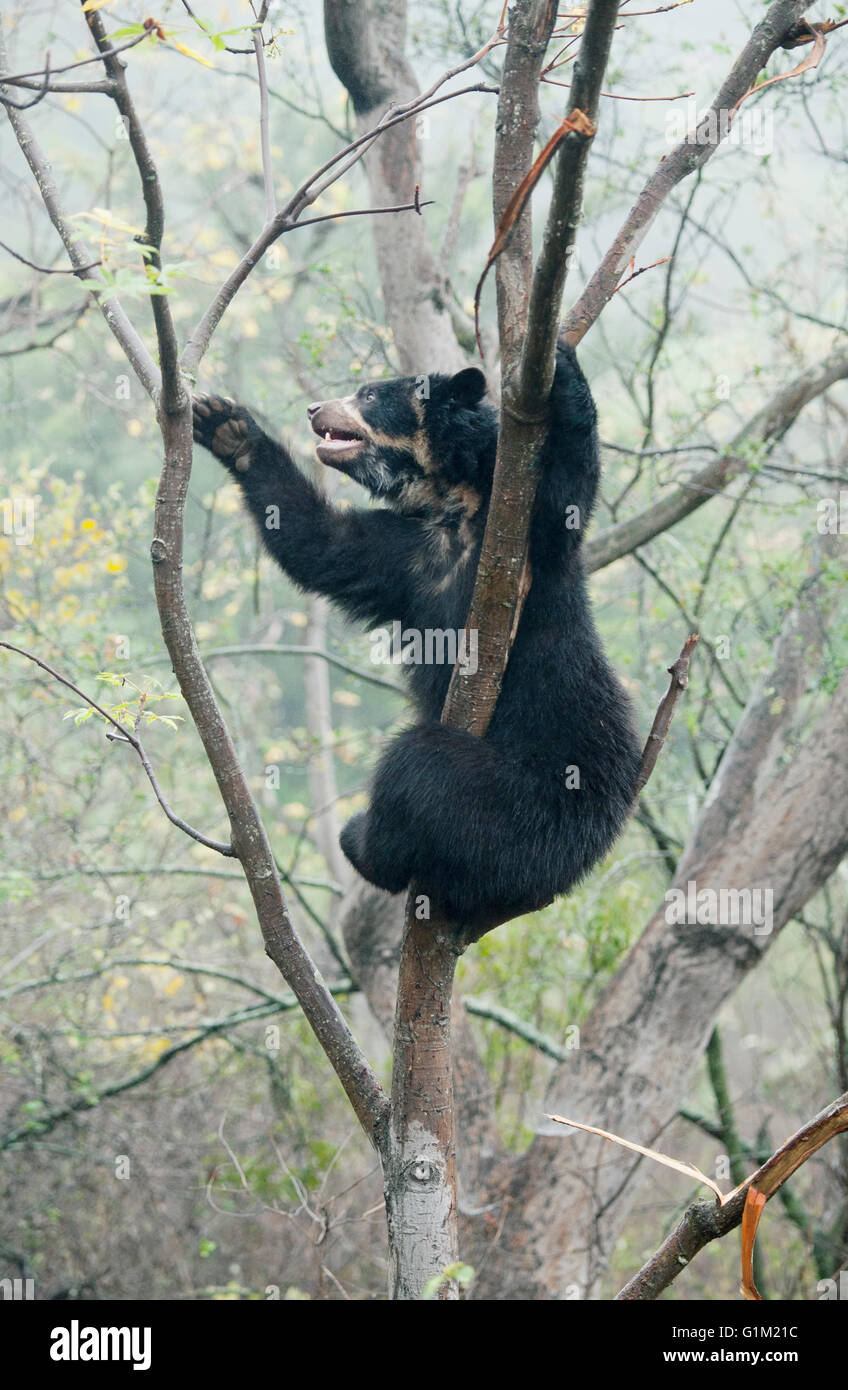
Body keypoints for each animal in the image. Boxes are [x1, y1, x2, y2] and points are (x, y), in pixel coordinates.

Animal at [193, 347, 639, 928]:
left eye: (370, 395)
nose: (315, 409)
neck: (456, 507)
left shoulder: (532, 546)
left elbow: (569, 489)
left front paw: (559, 358)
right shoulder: (406, 556)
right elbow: (322, 543)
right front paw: (225, 426)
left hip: (519, 803)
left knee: (415, 766)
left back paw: (360, 841)